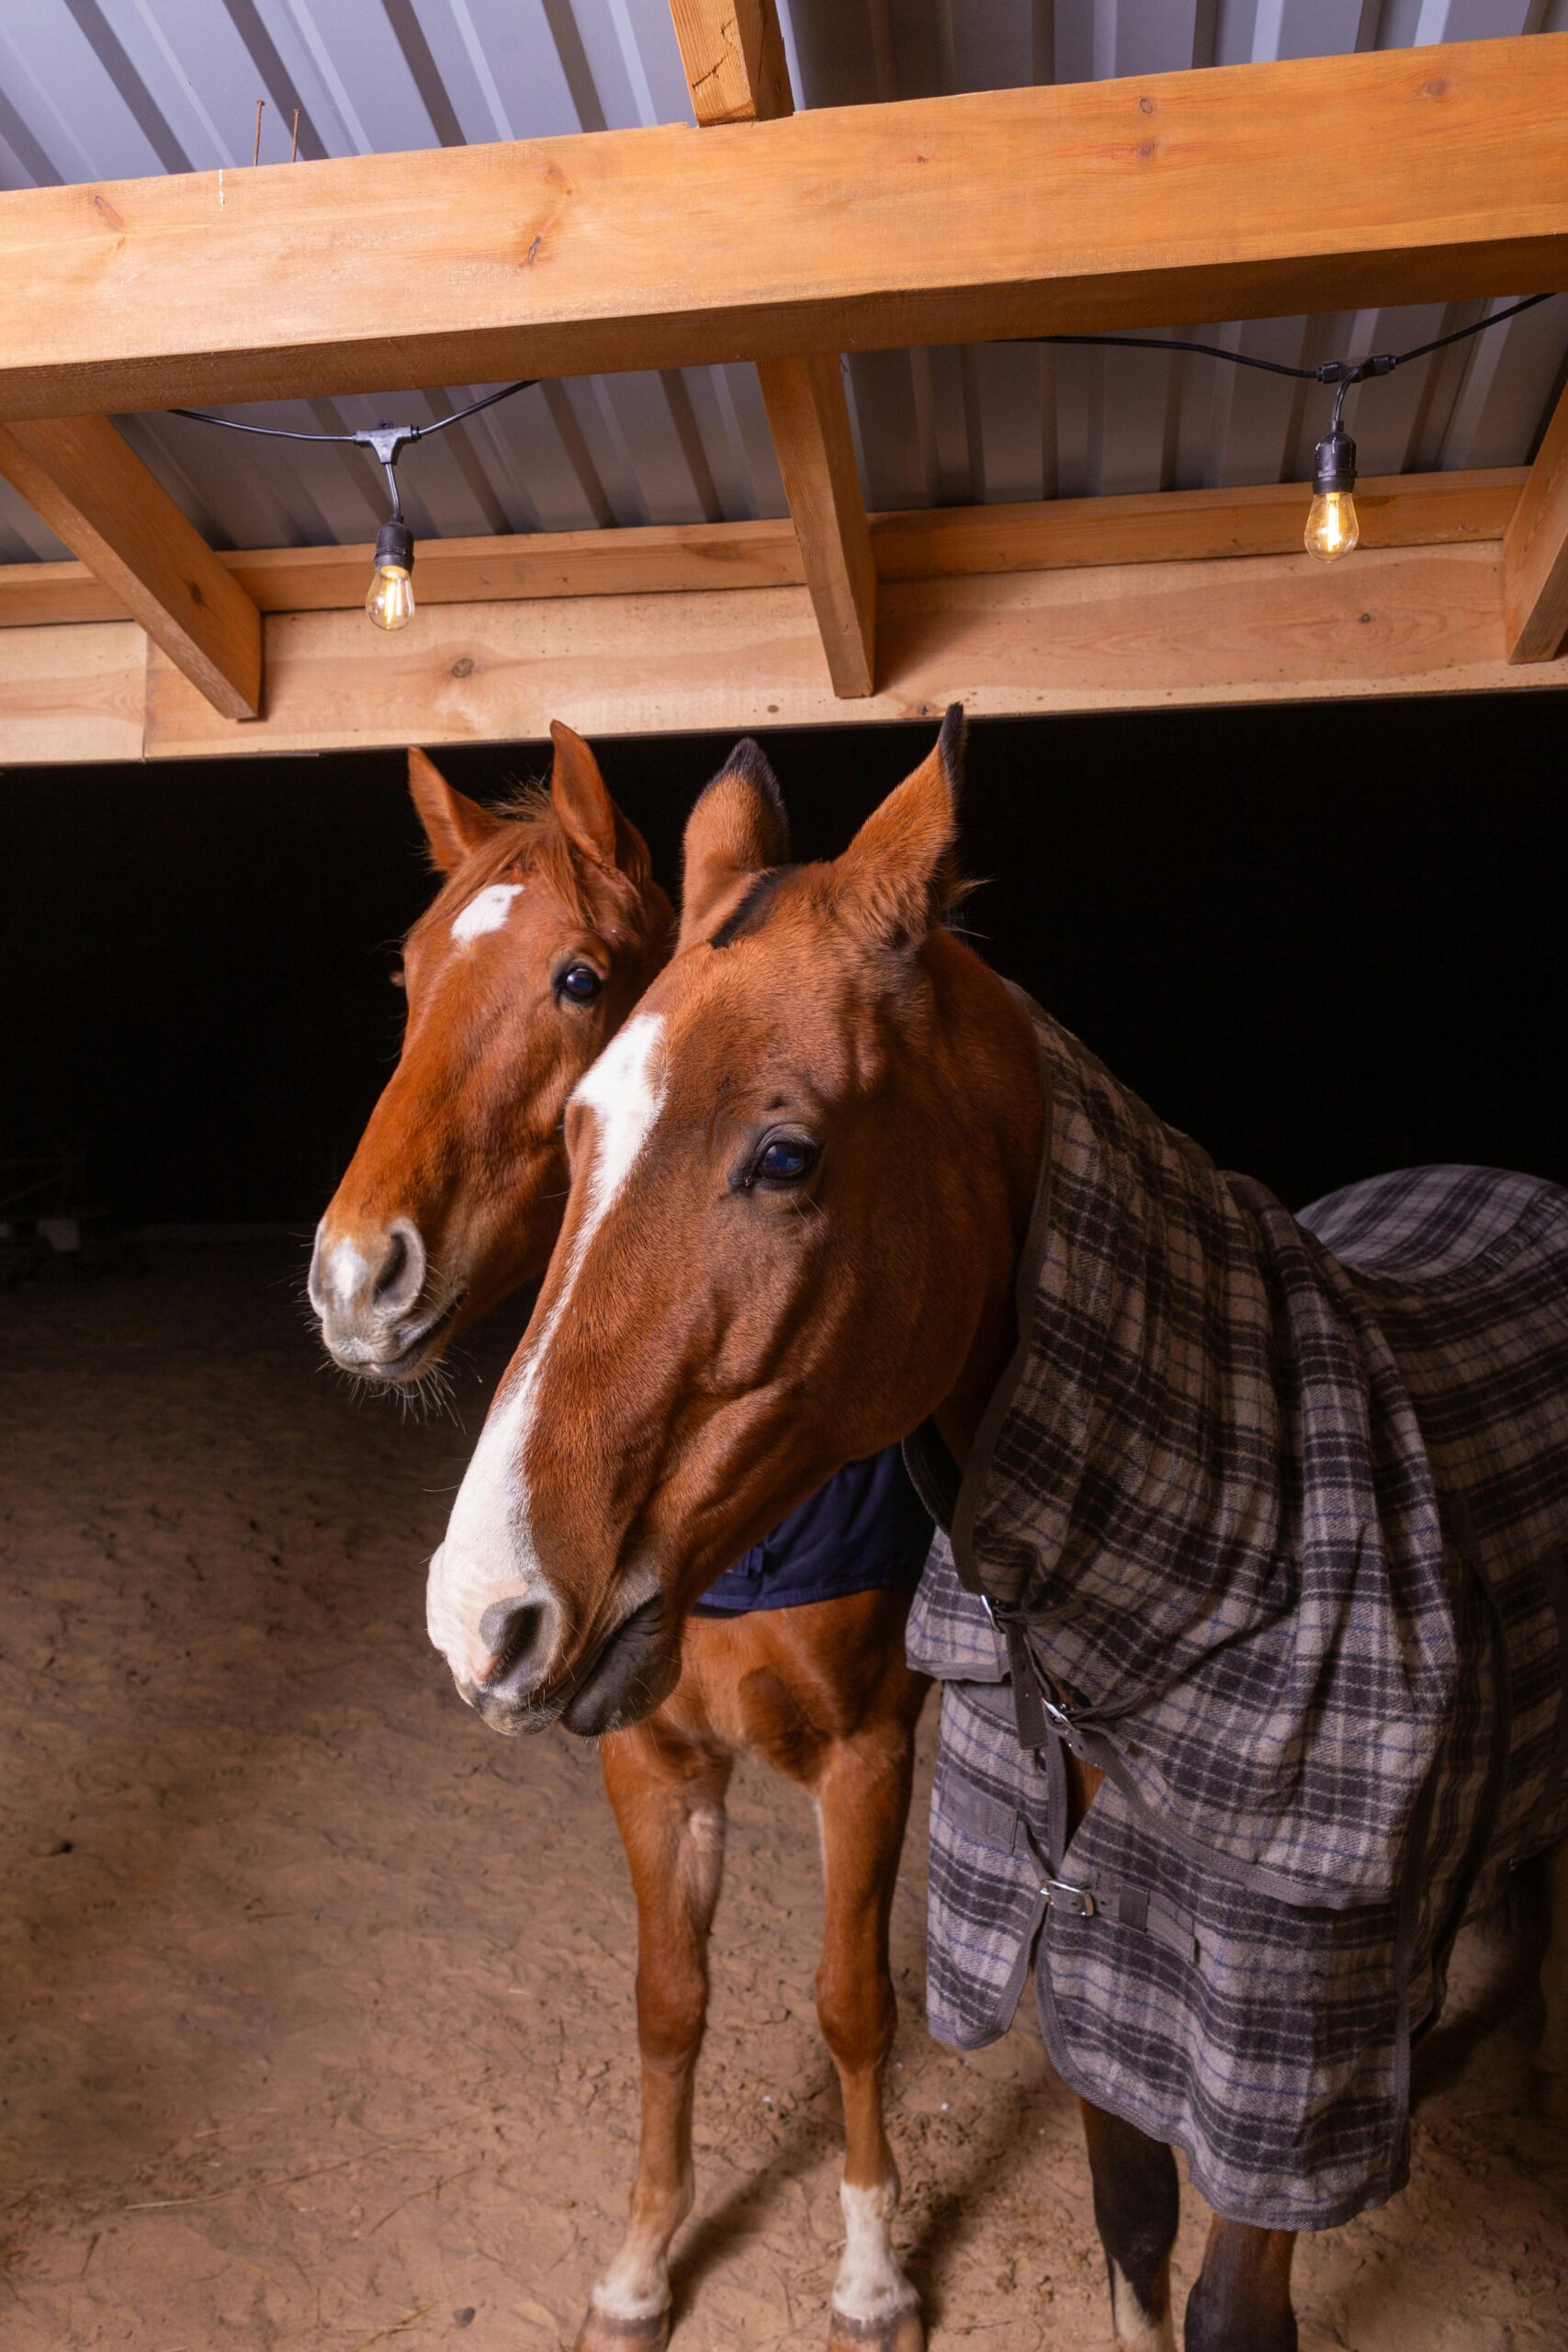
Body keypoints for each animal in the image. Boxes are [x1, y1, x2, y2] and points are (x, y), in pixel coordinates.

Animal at [310, 728, 932, 2352]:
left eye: (580, 978)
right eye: (407, 976)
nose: (351, 1277)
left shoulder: (870, 1752)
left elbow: (852, 2005)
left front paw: (871, 2270)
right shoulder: (648, 1755)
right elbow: (668, 2005)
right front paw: (642, 2263)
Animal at [425, 712, 1568, 2352]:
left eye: (784, 1156)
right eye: (579, 1132)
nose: (481, 1610)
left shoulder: (1270, 2082)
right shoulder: (1096, 1996)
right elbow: (1125, 2232)